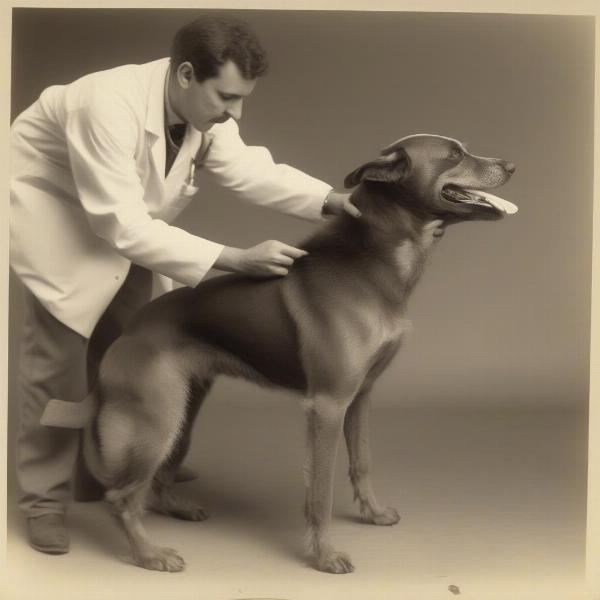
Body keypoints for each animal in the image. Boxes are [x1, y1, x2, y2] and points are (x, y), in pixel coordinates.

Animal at [79, 134, 516, 576]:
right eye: (455, 154)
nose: (511, 165)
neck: (374, 264)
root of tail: (130, 329)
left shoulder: (361, 397)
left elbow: (362, 463)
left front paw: (373, 514)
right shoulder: (327, 405)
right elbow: (320, 492)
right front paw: (325, 556)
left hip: (183, 413)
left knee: (155, 482)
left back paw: (177, 510)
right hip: (155, 421)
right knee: (121, 498)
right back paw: (150, 554)